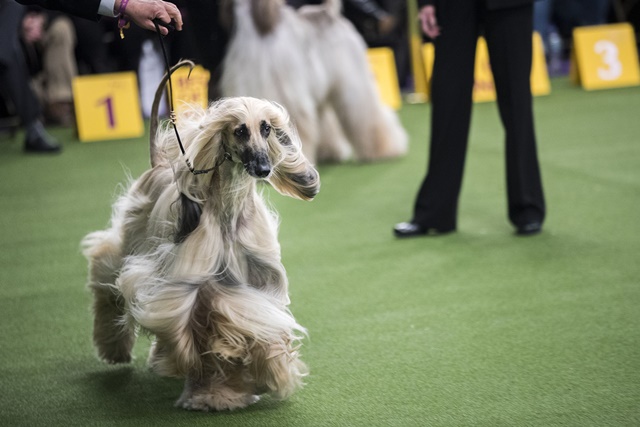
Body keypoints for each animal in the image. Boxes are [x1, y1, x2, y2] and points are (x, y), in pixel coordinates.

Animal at [81, 61, 320, 412]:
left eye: (266, 128)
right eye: (240, 130)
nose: (264, 168)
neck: (228, 214)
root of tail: (159, 164)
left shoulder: (257, 281)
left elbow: (257, 327)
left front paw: (269, 373)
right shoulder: (194, 286)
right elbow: (202, 330)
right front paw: (212, 393)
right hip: (130, 243)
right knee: (105, 270)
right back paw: (115, 347)